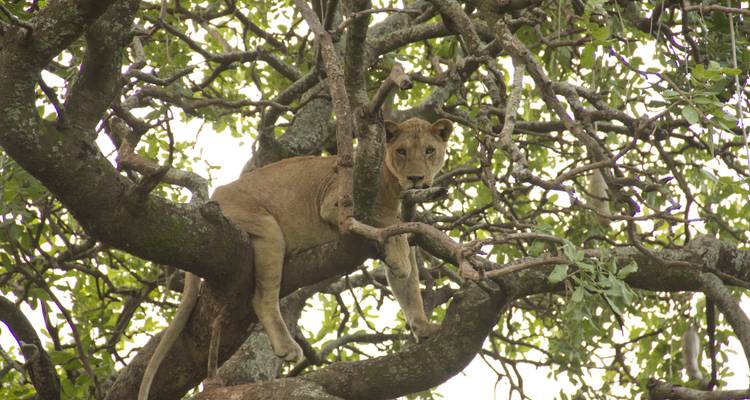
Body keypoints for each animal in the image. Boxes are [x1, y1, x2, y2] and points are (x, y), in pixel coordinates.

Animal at [139, 117, 452, 400]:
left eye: (429, 150)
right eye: (401, 151)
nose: (416, 179)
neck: (392, 185)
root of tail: (207, 202)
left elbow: (409, 289)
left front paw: (423, 326)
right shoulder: (336, 204)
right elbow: (389, 225)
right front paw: (399, 259)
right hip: (267, 228)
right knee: (262, 298)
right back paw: (286, 346)